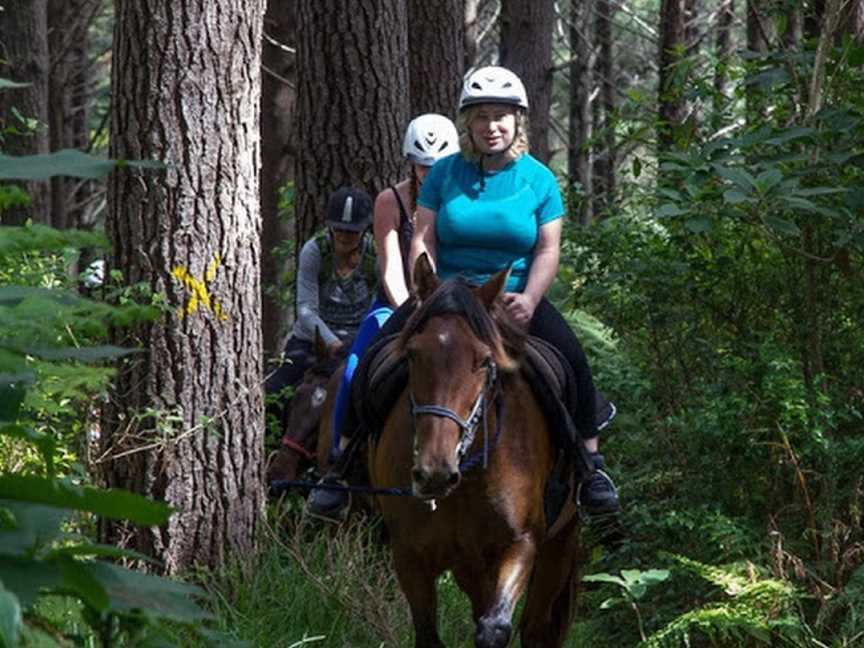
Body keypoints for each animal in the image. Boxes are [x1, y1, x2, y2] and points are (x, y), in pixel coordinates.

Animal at [368, 254, 584, 648]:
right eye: (413, 355)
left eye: (484, 360)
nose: (434, 472)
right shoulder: (409, 556)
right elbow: (429, 635)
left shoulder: (522, 543)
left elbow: (494, 628)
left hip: (560, 542)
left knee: (535, 628)